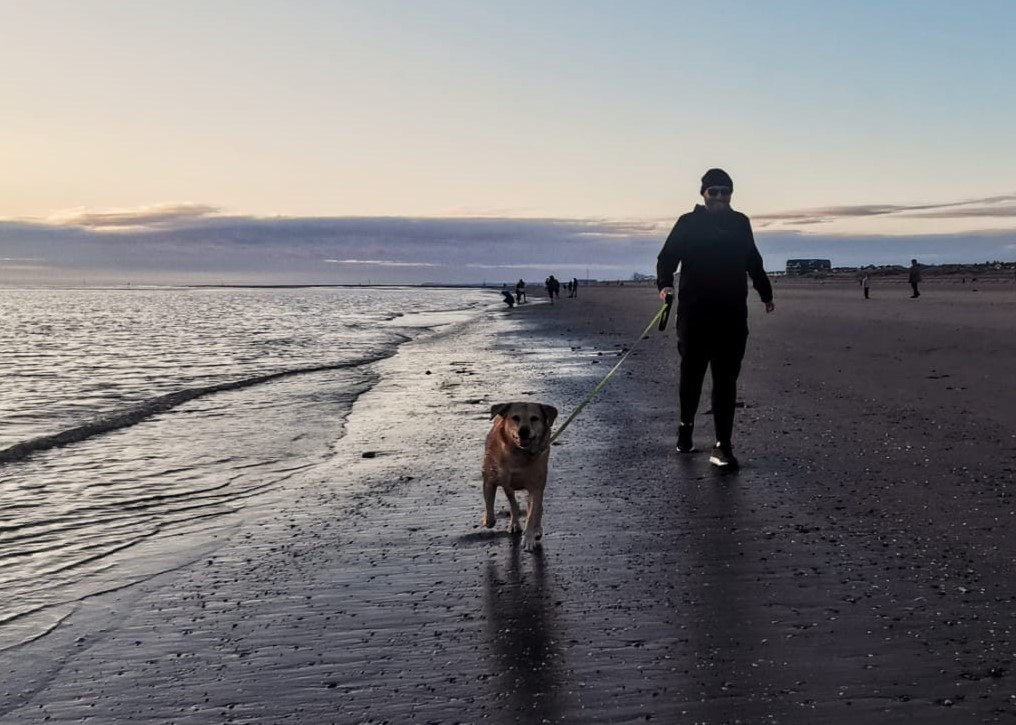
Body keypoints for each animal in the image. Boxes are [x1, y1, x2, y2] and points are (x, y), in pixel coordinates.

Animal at [481, 400, 560, 548]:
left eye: (534, 418)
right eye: (515, 417)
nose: (523, 430)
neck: (518, 454)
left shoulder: (536, 487)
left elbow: (532, 513)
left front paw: (528, 537)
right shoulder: (493, 479)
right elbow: (493, 502)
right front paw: (489, 520)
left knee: (536, 508)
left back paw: (536, 529)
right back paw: (514, 523)